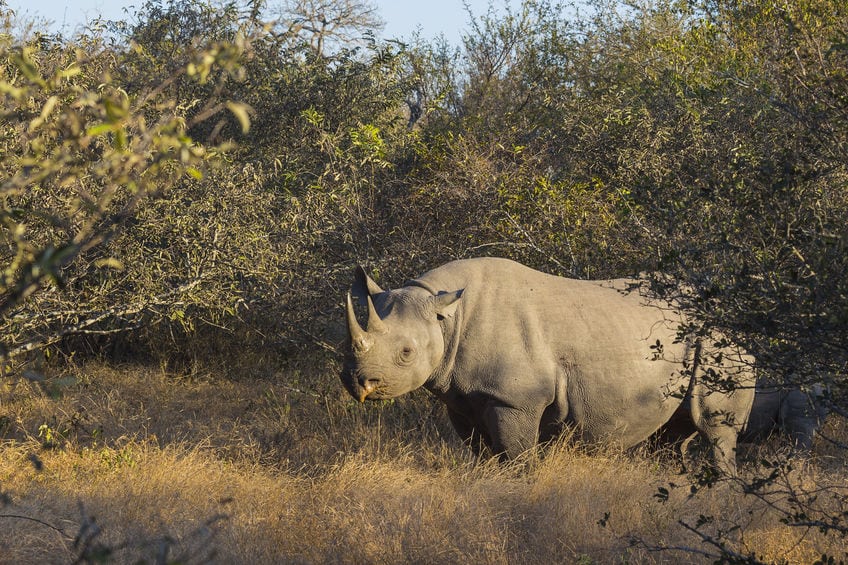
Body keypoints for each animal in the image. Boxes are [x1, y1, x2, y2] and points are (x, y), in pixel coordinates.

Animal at [341, 257, 755, 473]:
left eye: (406, 353)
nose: (358, 384)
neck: (445, 315)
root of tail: (738, 315)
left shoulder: (515, 399)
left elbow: (517, 457)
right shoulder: (461, 398)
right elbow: (483, 454)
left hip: (719, 341)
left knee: (715, 430)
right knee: (671, 435)